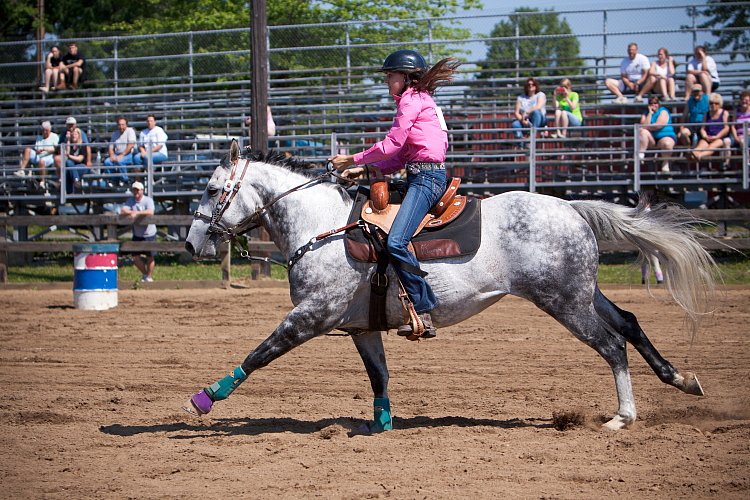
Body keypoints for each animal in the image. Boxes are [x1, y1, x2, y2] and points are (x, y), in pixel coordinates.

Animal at [185, 143, 720, 432]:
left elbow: (260, 352)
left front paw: (207, 397)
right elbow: (379, 376)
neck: (322, 228)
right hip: (584, 294)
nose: (191, 241)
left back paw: (622, 417)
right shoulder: (361, 327)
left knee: (611, 345)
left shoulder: (312, 316)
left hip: (565, 302)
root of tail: (571, 207)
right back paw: (682, 379)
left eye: (211, 190)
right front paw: (380, 423)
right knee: (629, 323)